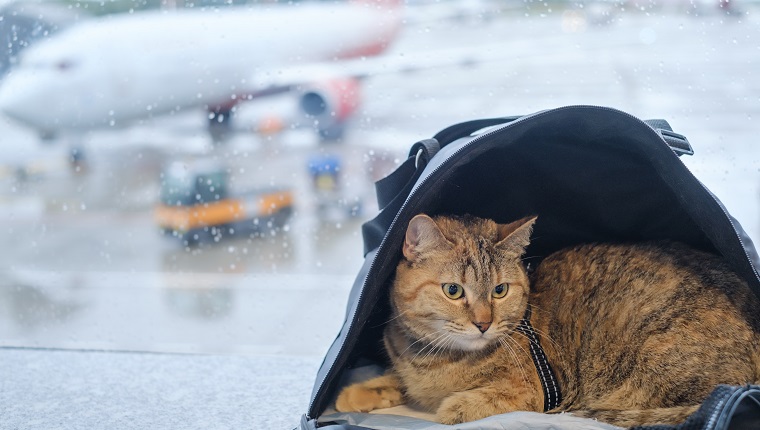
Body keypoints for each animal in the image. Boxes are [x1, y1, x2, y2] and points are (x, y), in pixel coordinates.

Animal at [334, 215, 760, 426]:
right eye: (453, 291)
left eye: (500, 290)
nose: (483, 323)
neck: (433, 358)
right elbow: (397, 381)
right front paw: (360, 392)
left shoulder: (536, 391)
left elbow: (472, 402)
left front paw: (452, 407)